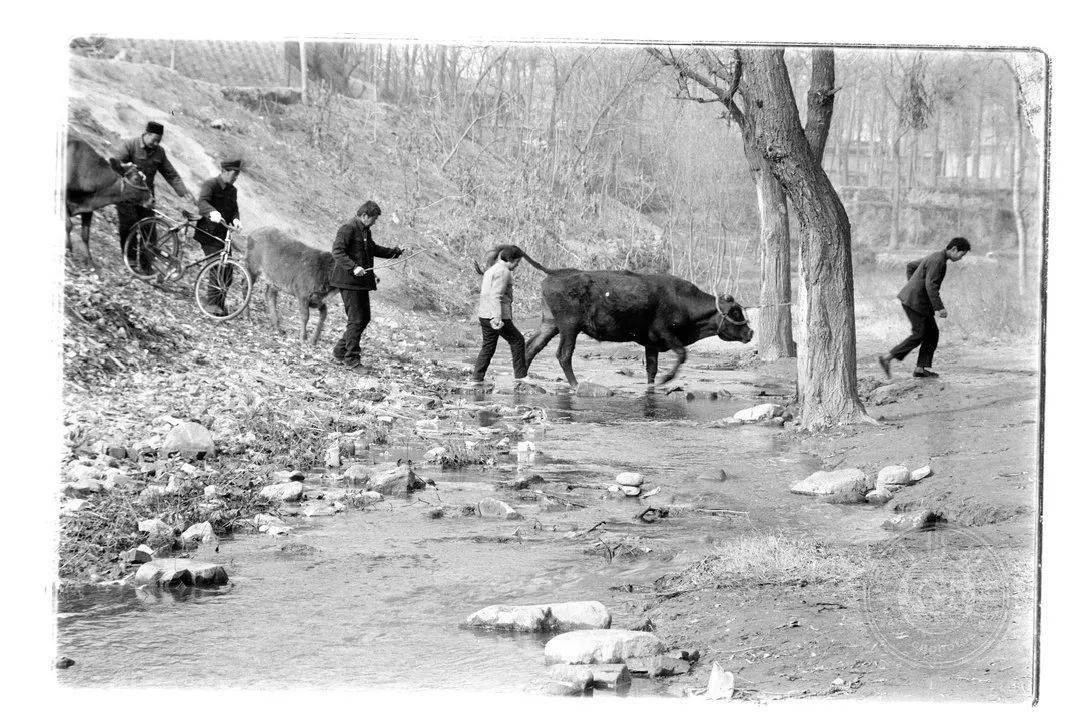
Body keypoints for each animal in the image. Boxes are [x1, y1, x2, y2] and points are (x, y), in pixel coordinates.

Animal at [65, 133, 153, 266]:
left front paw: (89, 259)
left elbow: (85, 234)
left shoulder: (88, 209)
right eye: (136, 178)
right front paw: (68, 248)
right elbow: (68, 225)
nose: (152, 200)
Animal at [477, 245, 756, 386]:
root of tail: (557, 272)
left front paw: (653, 385)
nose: (751, 332)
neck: (683, 303)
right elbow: (682, 355)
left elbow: (651, 369)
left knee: (531, 346)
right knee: (563, 355)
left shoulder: (651, 344)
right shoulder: (665, 334)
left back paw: (523, 375)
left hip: (551, 323)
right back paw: (576, 385)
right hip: (569, 326)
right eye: (735, 311)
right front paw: (667, 379)